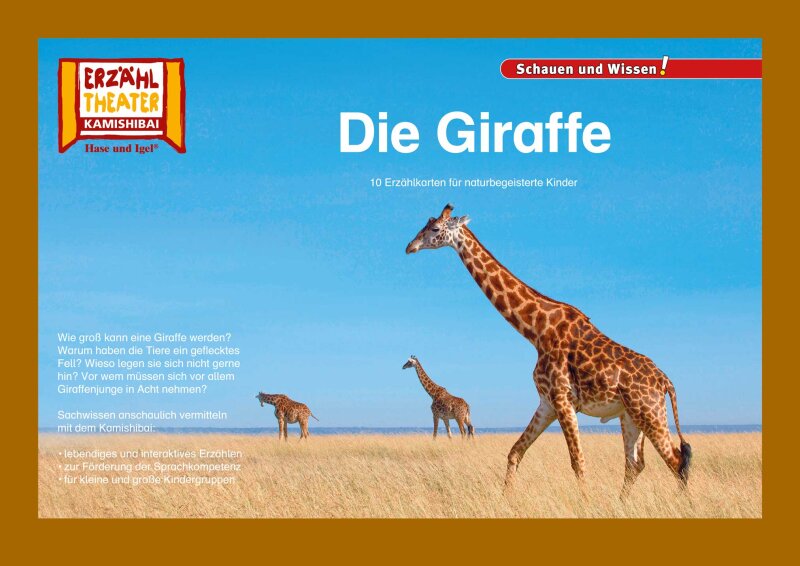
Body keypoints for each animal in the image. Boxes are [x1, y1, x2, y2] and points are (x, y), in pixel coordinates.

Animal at [405, 204, 691, 494]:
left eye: (435, 229)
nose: (410, 246)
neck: (537, 331)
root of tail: (665, 382)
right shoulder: (546, 402)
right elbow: (515, 452)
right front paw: (506, 497)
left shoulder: (563, 399)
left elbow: (578, 462)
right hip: (630, 416)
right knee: (635, 463)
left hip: (650, 412)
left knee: (676, 460)